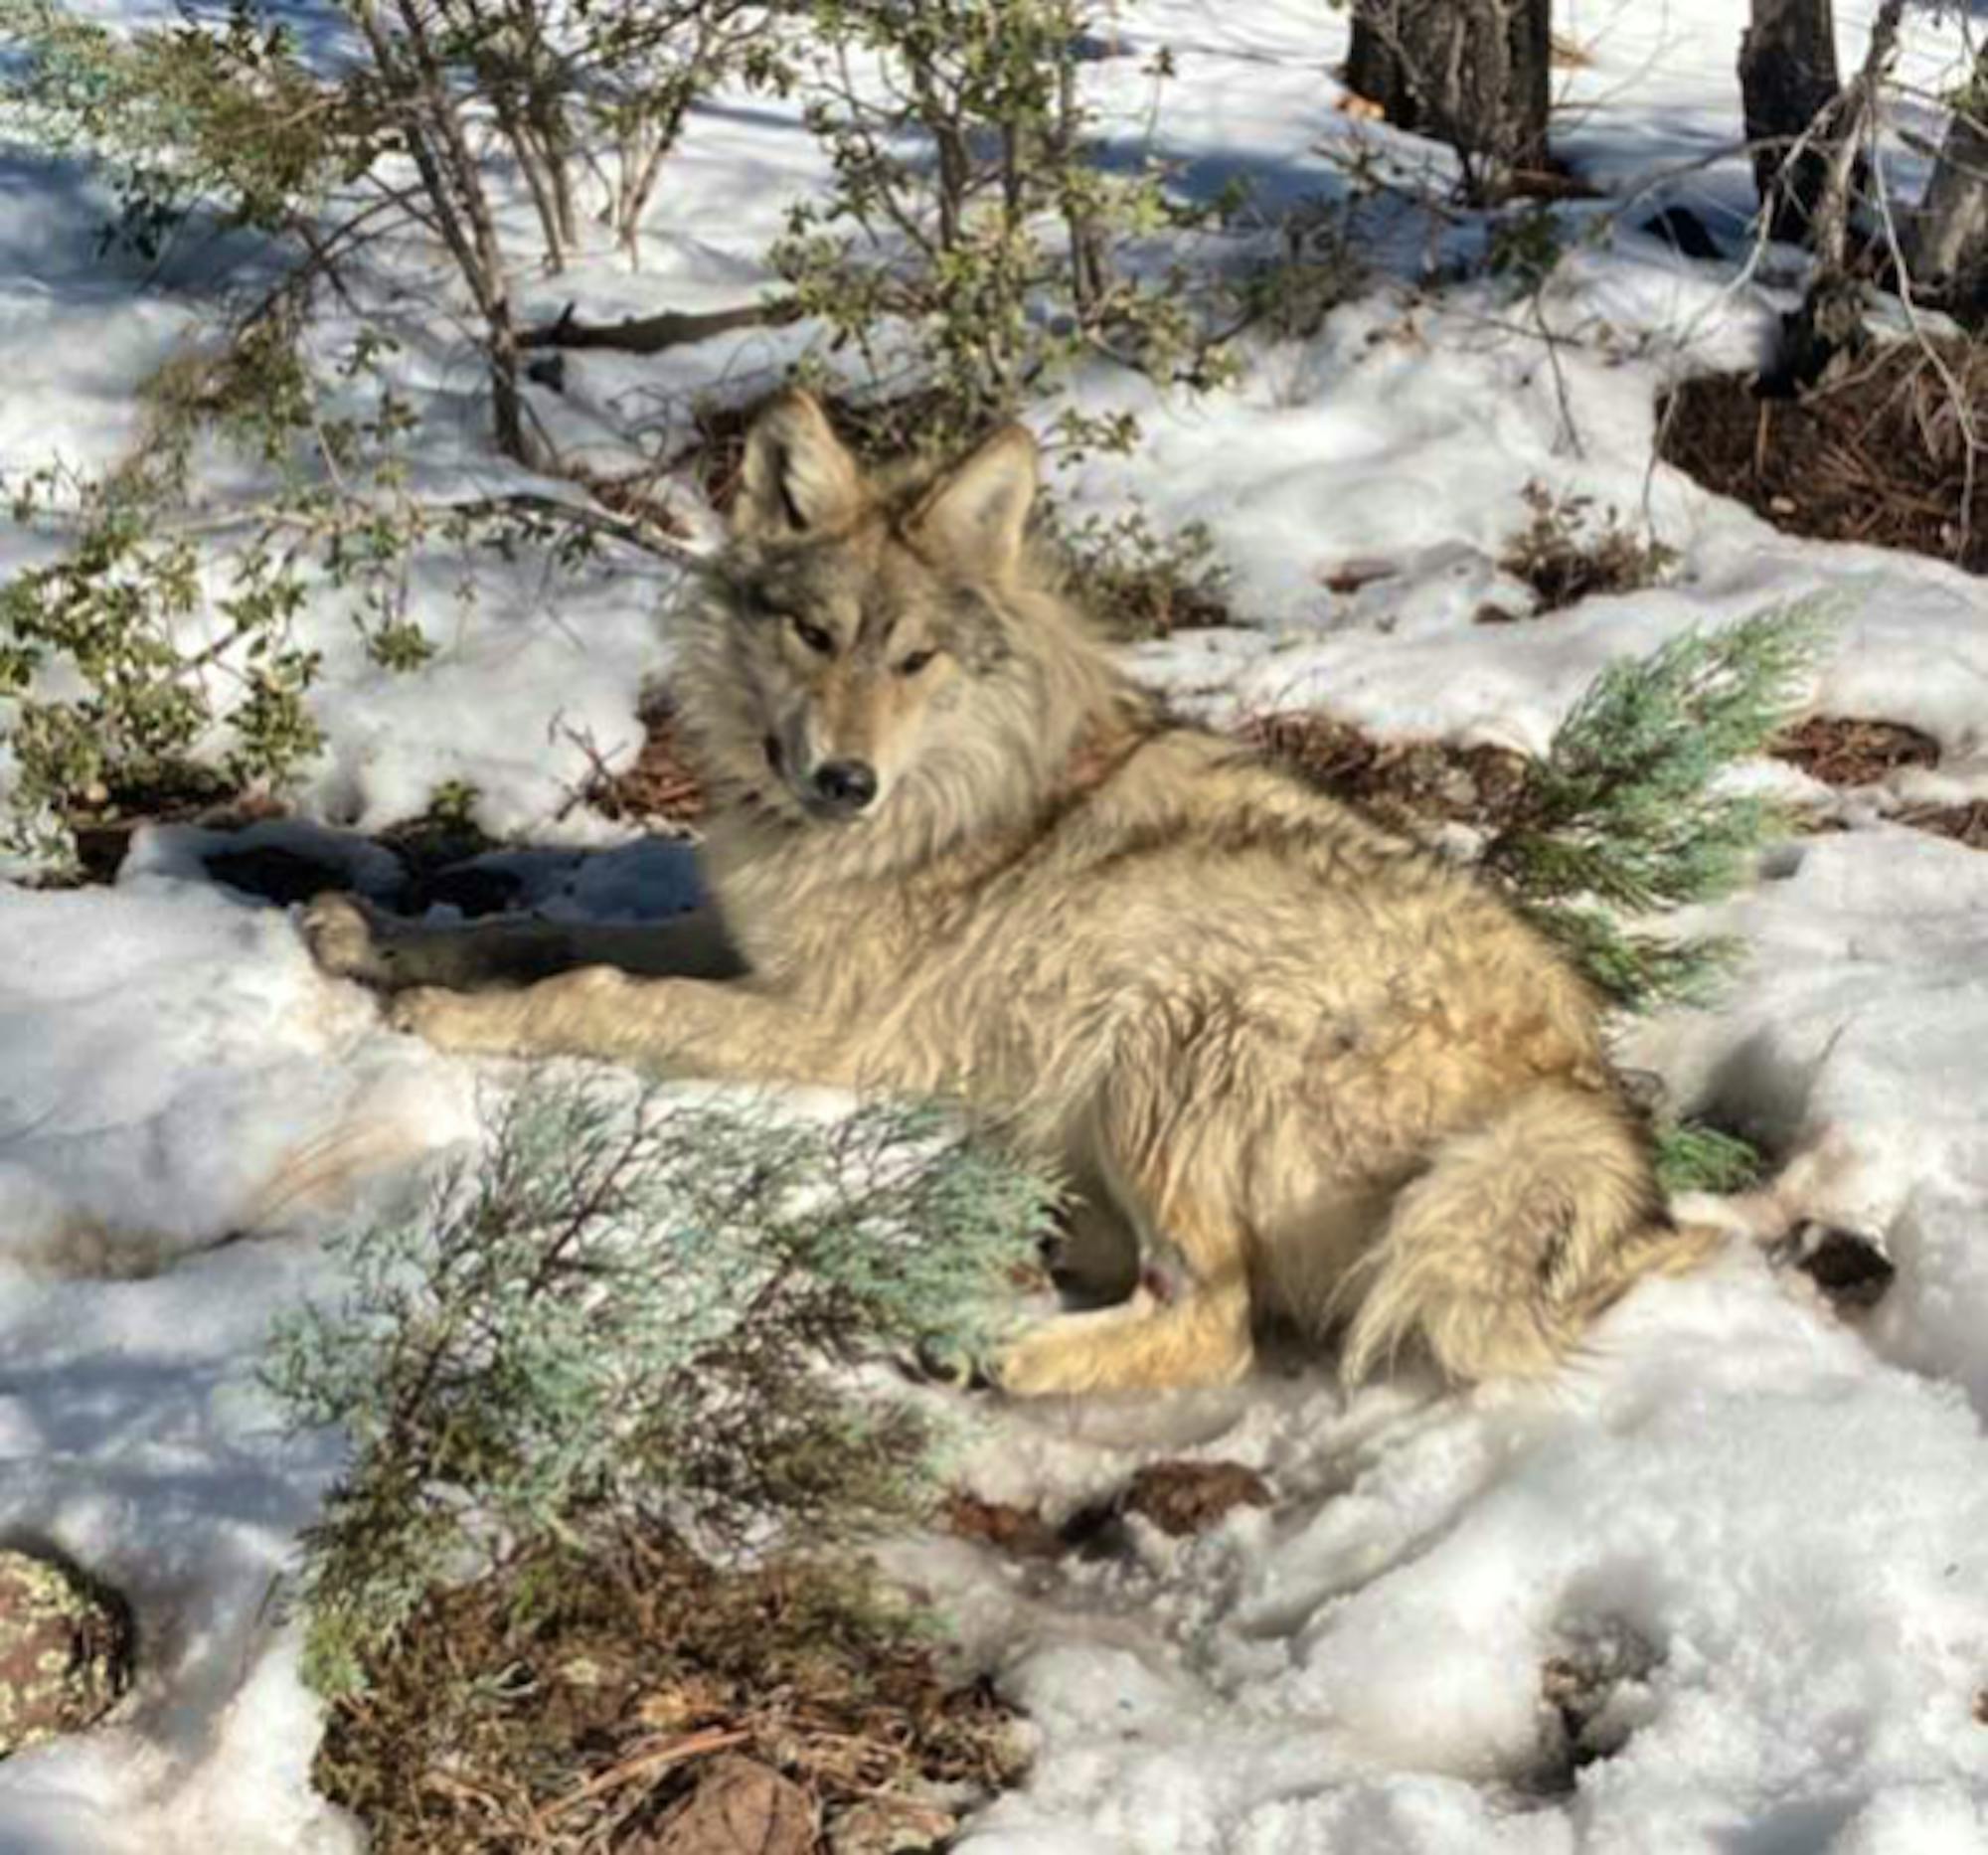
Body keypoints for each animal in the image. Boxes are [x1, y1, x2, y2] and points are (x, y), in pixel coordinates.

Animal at [302, 394, 1718, 1408]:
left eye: (914, 659)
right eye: (817, 637)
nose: (844, 780)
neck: (935, 796)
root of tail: (1584, 1109)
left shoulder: (827, 1028)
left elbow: (596, 991)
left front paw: (460, 1024)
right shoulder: (743, 945)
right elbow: (540, 929)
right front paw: (372, 939)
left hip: (1168, 1019)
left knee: (1217, 1321)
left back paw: (992, 1349)